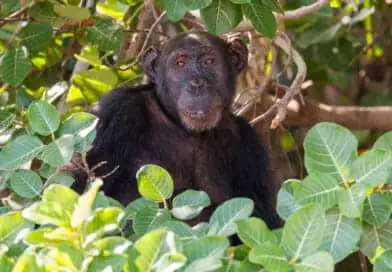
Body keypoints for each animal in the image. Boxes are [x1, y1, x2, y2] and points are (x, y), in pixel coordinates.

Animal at [73, 30, 280, 228]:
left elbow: (264, 217)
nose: (197, 83)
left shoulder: (249, 143)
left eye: (209, 61)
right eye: (180, 64)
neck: (180, 125)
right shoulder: (112, 114)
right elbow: (76, 187)